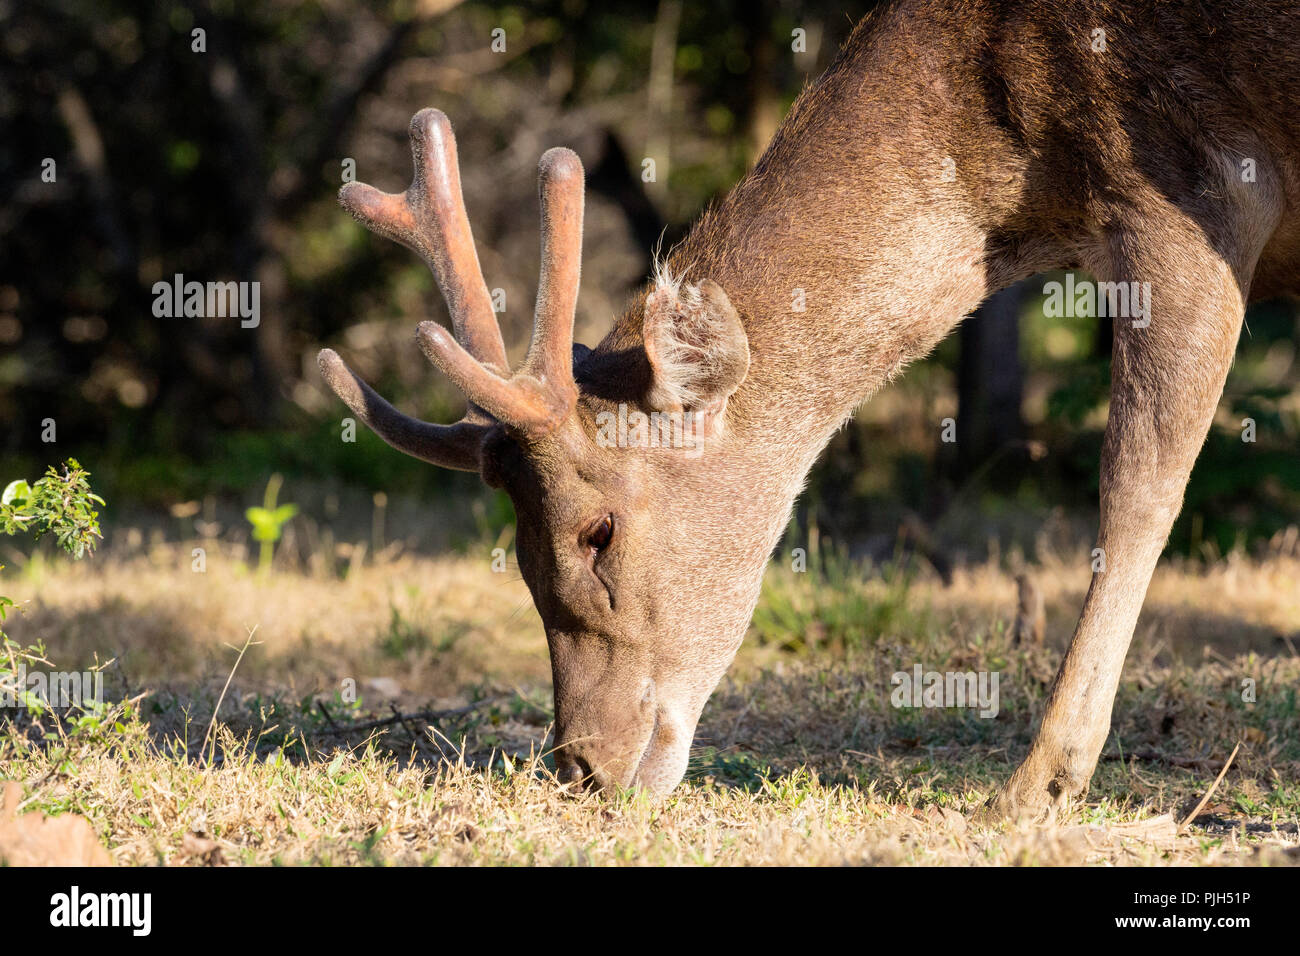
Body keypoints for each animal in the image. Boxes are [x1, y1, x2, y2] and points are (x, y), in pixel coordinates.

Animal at [319, 1, 1300, 822]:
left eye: (599, 531)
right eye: (516, 552)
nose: (585, 767)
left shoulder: (1196, 191)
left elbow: (1136, 490)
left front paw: (1035, 788)